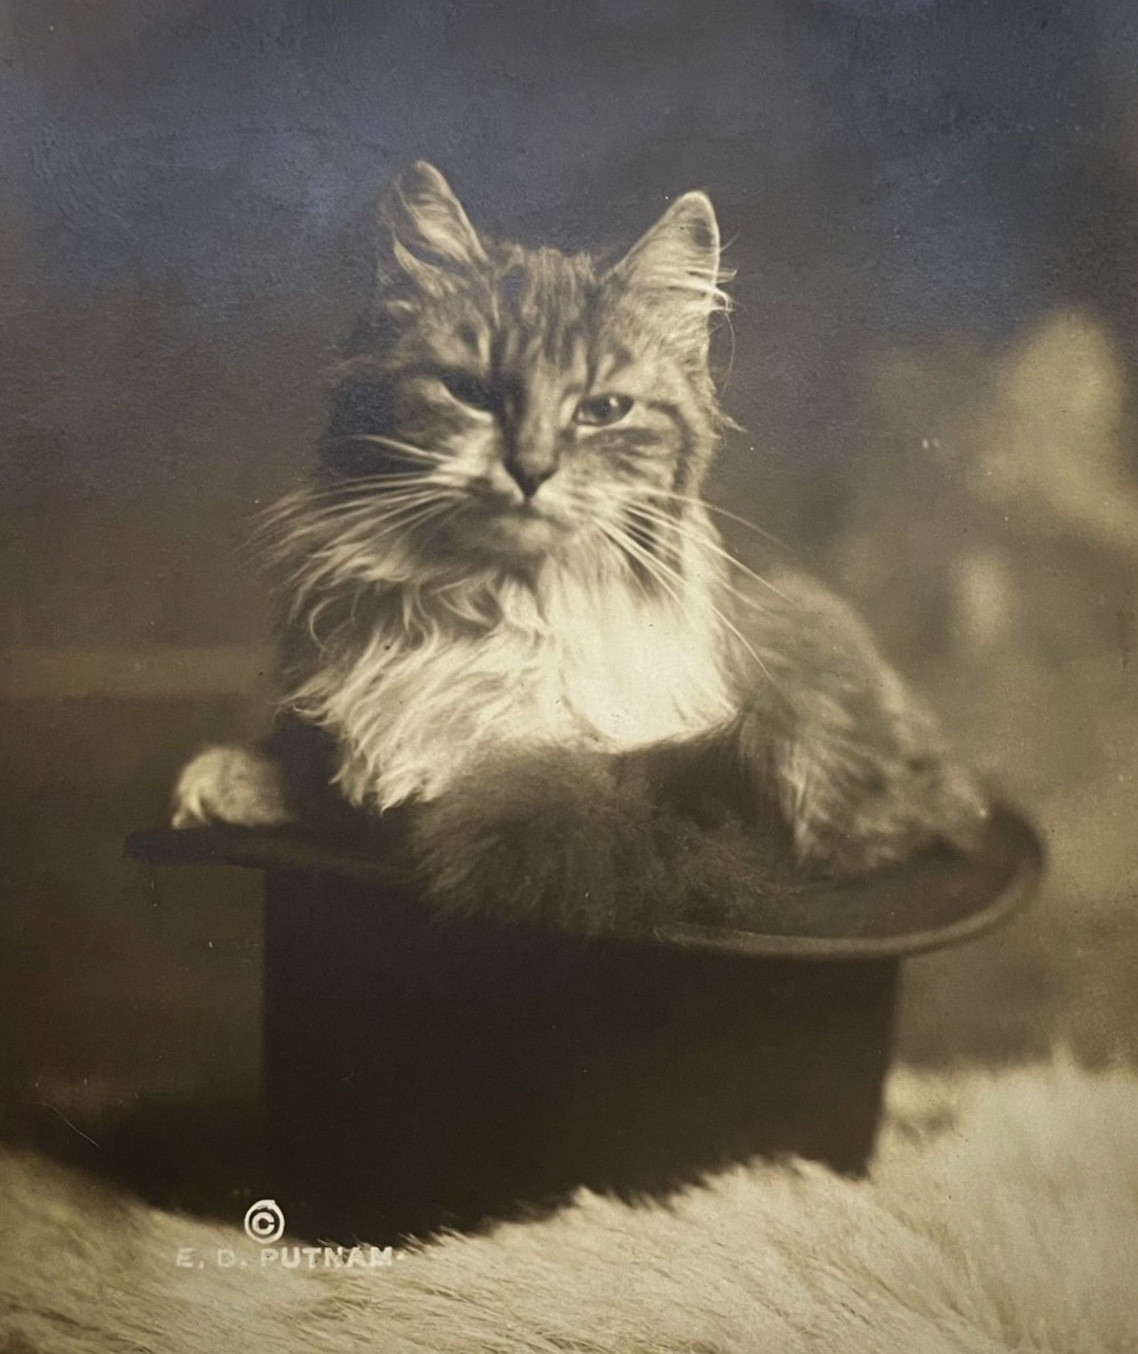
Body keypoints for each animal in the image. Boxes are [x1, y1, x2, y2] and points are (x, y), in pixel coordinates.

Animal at [168, 158, 986, 936]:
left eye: (604, 410)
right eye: (472, 393)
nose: (530, 471)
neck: (497, 600)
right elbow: (323, 760)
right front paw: (235, 779)